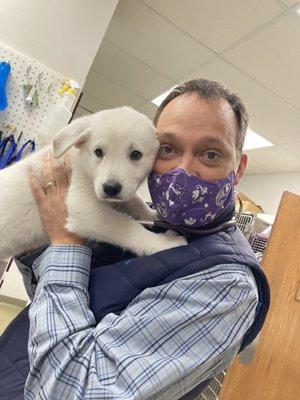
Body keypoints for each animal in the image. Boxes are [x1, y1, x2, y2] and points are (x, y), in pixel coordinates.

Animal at [0, 105, 188, 260]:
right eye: (98, 152)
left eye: (136, 154)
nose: (110, 188)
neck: (82, 164)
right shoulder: (85, 208)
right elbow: (128, 226)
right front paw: (163, 243)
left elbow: (137, 202)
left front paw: (154, 214)